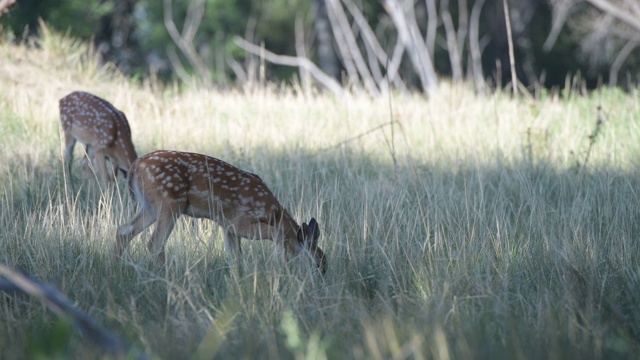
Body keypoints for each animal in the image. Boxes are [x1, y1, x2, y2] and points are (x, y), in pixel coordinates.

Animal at [115, 150, 328, 274]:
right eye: (318, 262)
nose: (322, 277)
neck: (272, 213)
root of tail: (135, 166)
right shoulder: (241, 222)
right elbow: (278, 235)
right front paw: (284, 267)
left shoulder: (228, 227)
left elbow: (236, 257)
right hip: (170, 202)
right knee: (155, 243)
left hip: (150, 206)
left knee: (124, 230)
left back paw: (116, 267)